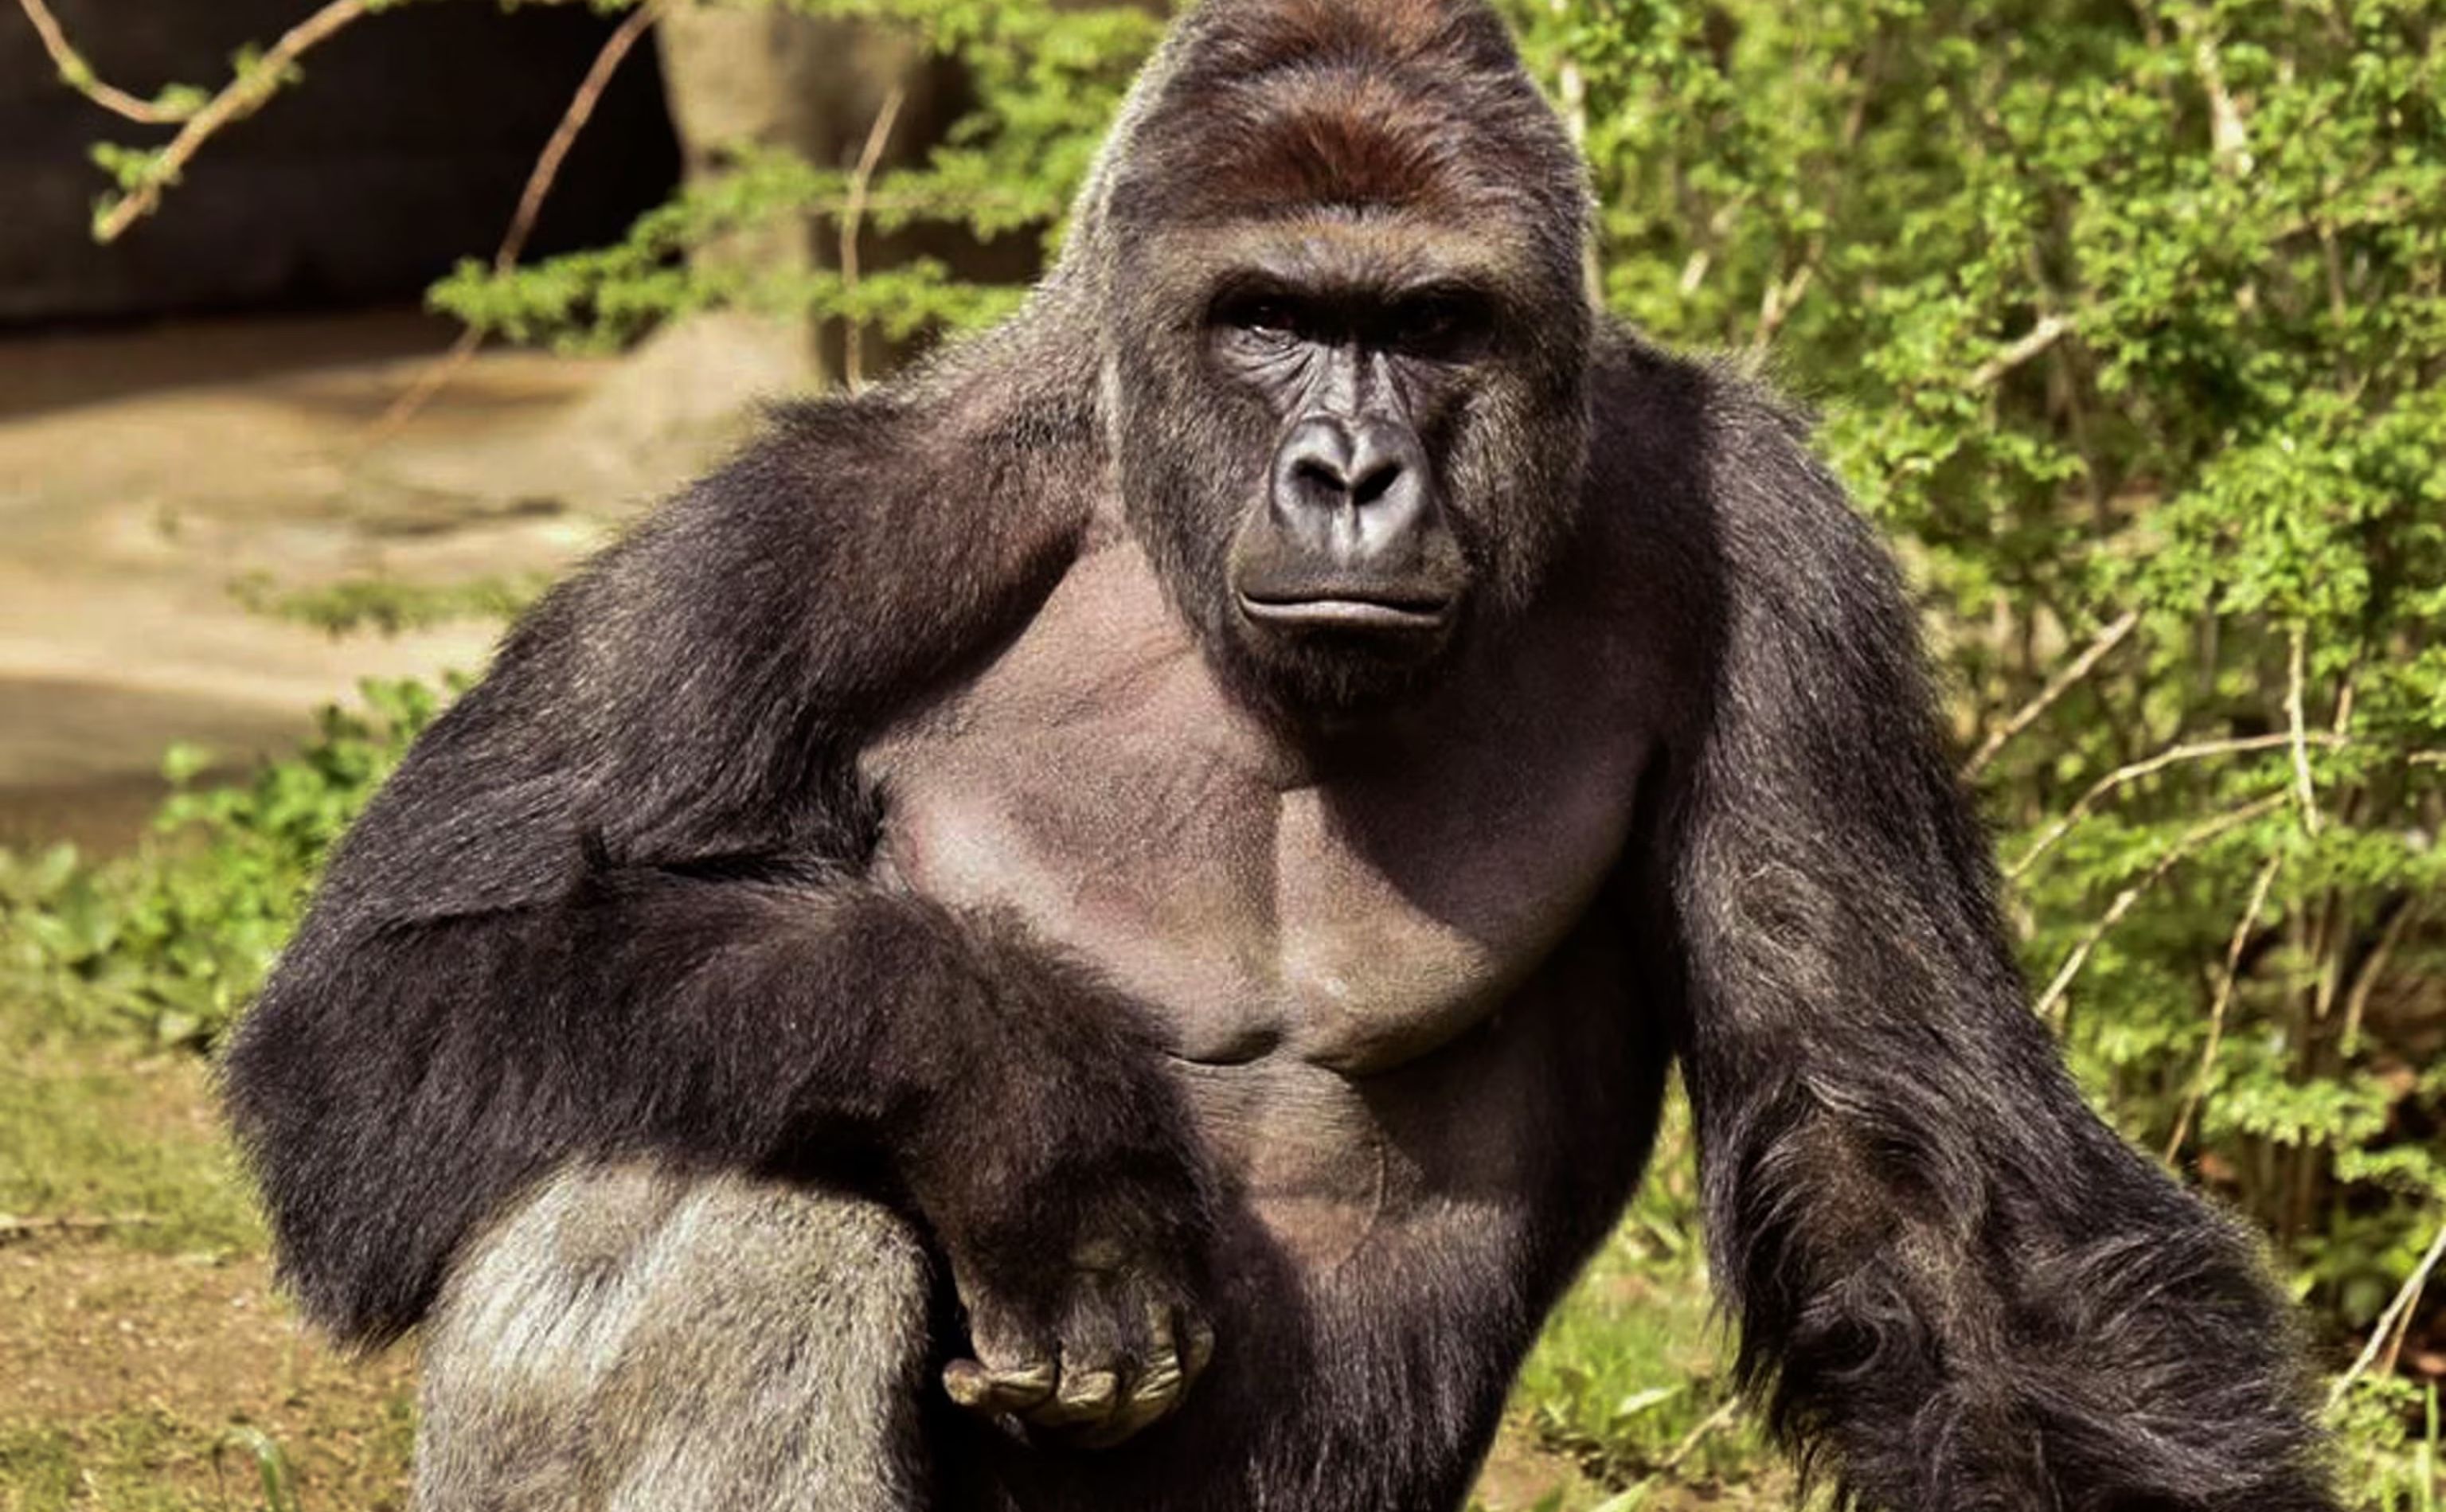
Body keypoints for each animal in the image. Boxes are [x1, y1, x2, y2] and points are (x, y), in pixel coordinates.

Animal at [222, 2, 2339, 1508]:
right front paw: (1023, 1091)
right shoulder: (803, 537)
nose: (1347, 472)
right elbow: (371, 1013)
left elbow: (1924, 1188)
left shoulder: (1767, 551)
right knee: (733, 1173)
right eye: (1268, 316)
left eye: (1430, 323)